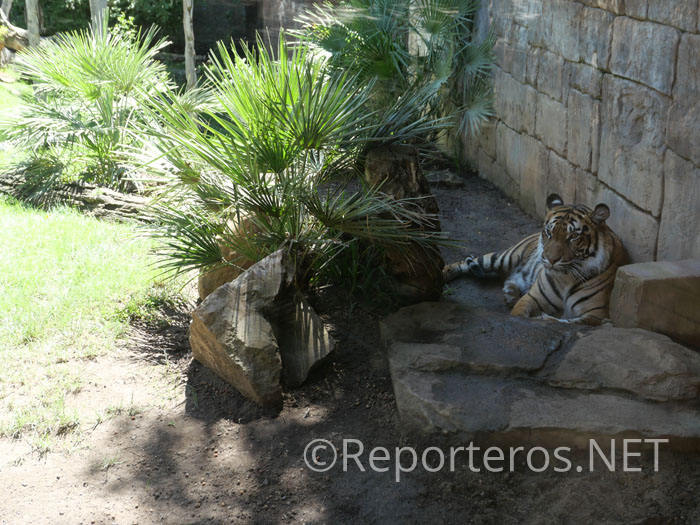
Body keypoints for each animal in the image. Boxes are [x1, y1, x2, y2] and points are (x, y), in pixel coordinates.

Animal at [442, 192, 628, 324]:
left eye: (574, 236)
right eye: (549, 232)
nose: (550, 260)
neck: (566, 278)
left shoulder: (596, 315)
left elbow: (568, 322)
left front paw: (545, 318)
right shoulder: (532, 298)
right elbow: (519, 313)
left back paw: (511, 293)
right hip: (505, 257)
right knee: (466, 262)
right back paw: (443, 273)